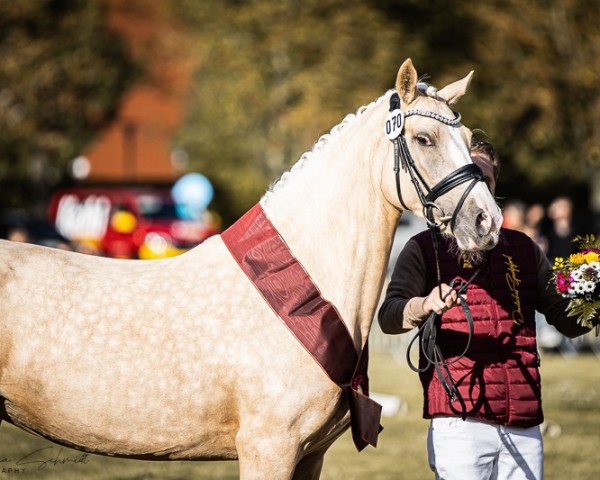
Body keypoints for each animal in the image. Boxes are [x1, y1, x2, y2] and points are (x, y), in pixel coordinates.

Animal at [0, 59, 502, 476]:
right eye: (423, 139)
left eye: (469, 139)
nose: (487, 221)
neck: (297, 294)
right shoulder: (269, 448)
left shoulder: (310, 456)